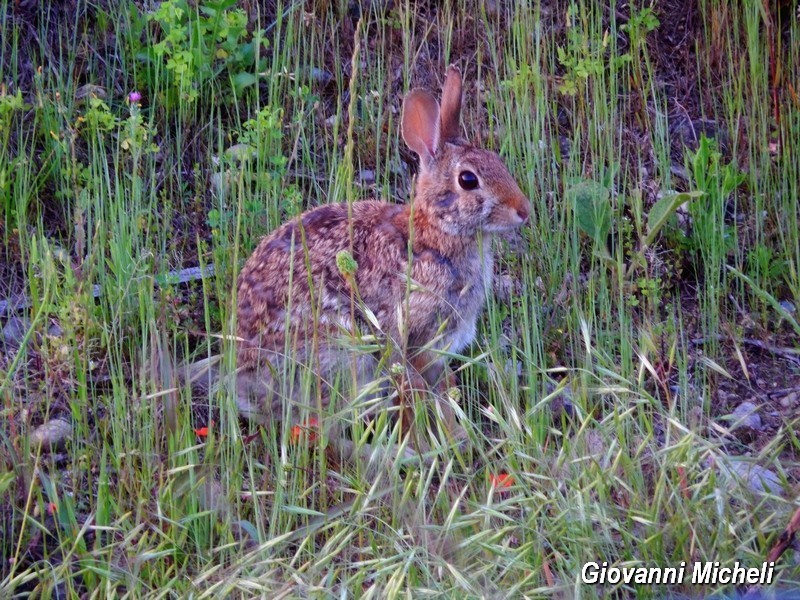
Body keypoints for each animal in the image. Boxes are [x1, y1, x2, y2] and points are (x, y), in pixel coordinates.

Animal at [219, 65, 528, 458]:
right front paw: (436, 443)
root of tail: (249, 387)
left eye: (498, 161)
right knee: (319, 429)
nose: (524, 210)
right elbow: (416, 395)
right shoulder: (410, 339)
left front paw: (456, 435)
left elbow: (441, 389)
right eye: (468, 179)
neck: (433, 237)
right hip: (341, 355)